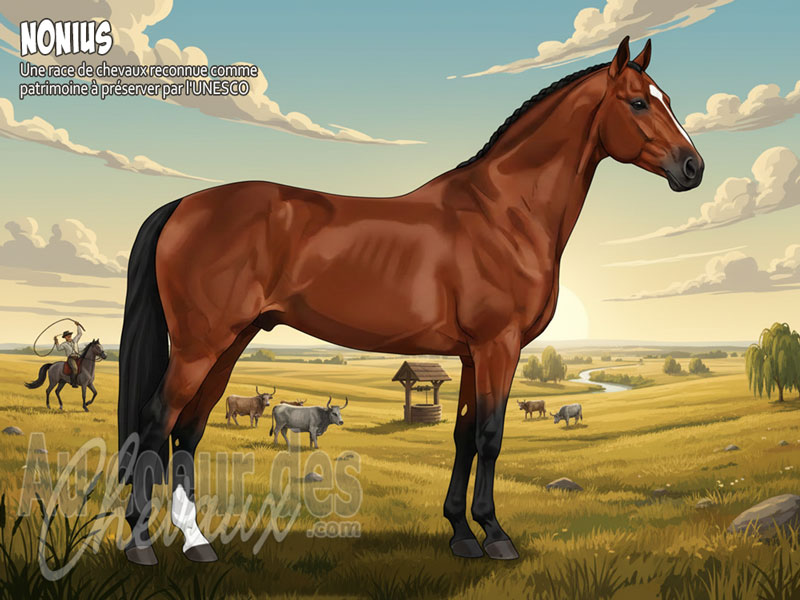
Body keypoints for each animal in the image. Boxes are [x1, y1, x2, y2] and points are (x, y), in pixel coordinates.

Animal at [117, 36, 703, 565]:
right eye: (638, 102)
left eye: (668, 99)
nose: (693, 167)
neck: (505, 213)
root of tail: (182, 205)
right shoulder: (499, 346)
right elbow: (491, 435)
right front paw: (496, 536)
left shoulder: (471, 355)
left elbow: (464, 436)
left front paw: (462, 533)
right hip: (199, 345)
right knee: (157, 421)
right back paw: (141, 545)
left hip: (230, 342)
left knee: (189, 429)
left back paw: (197, 543)